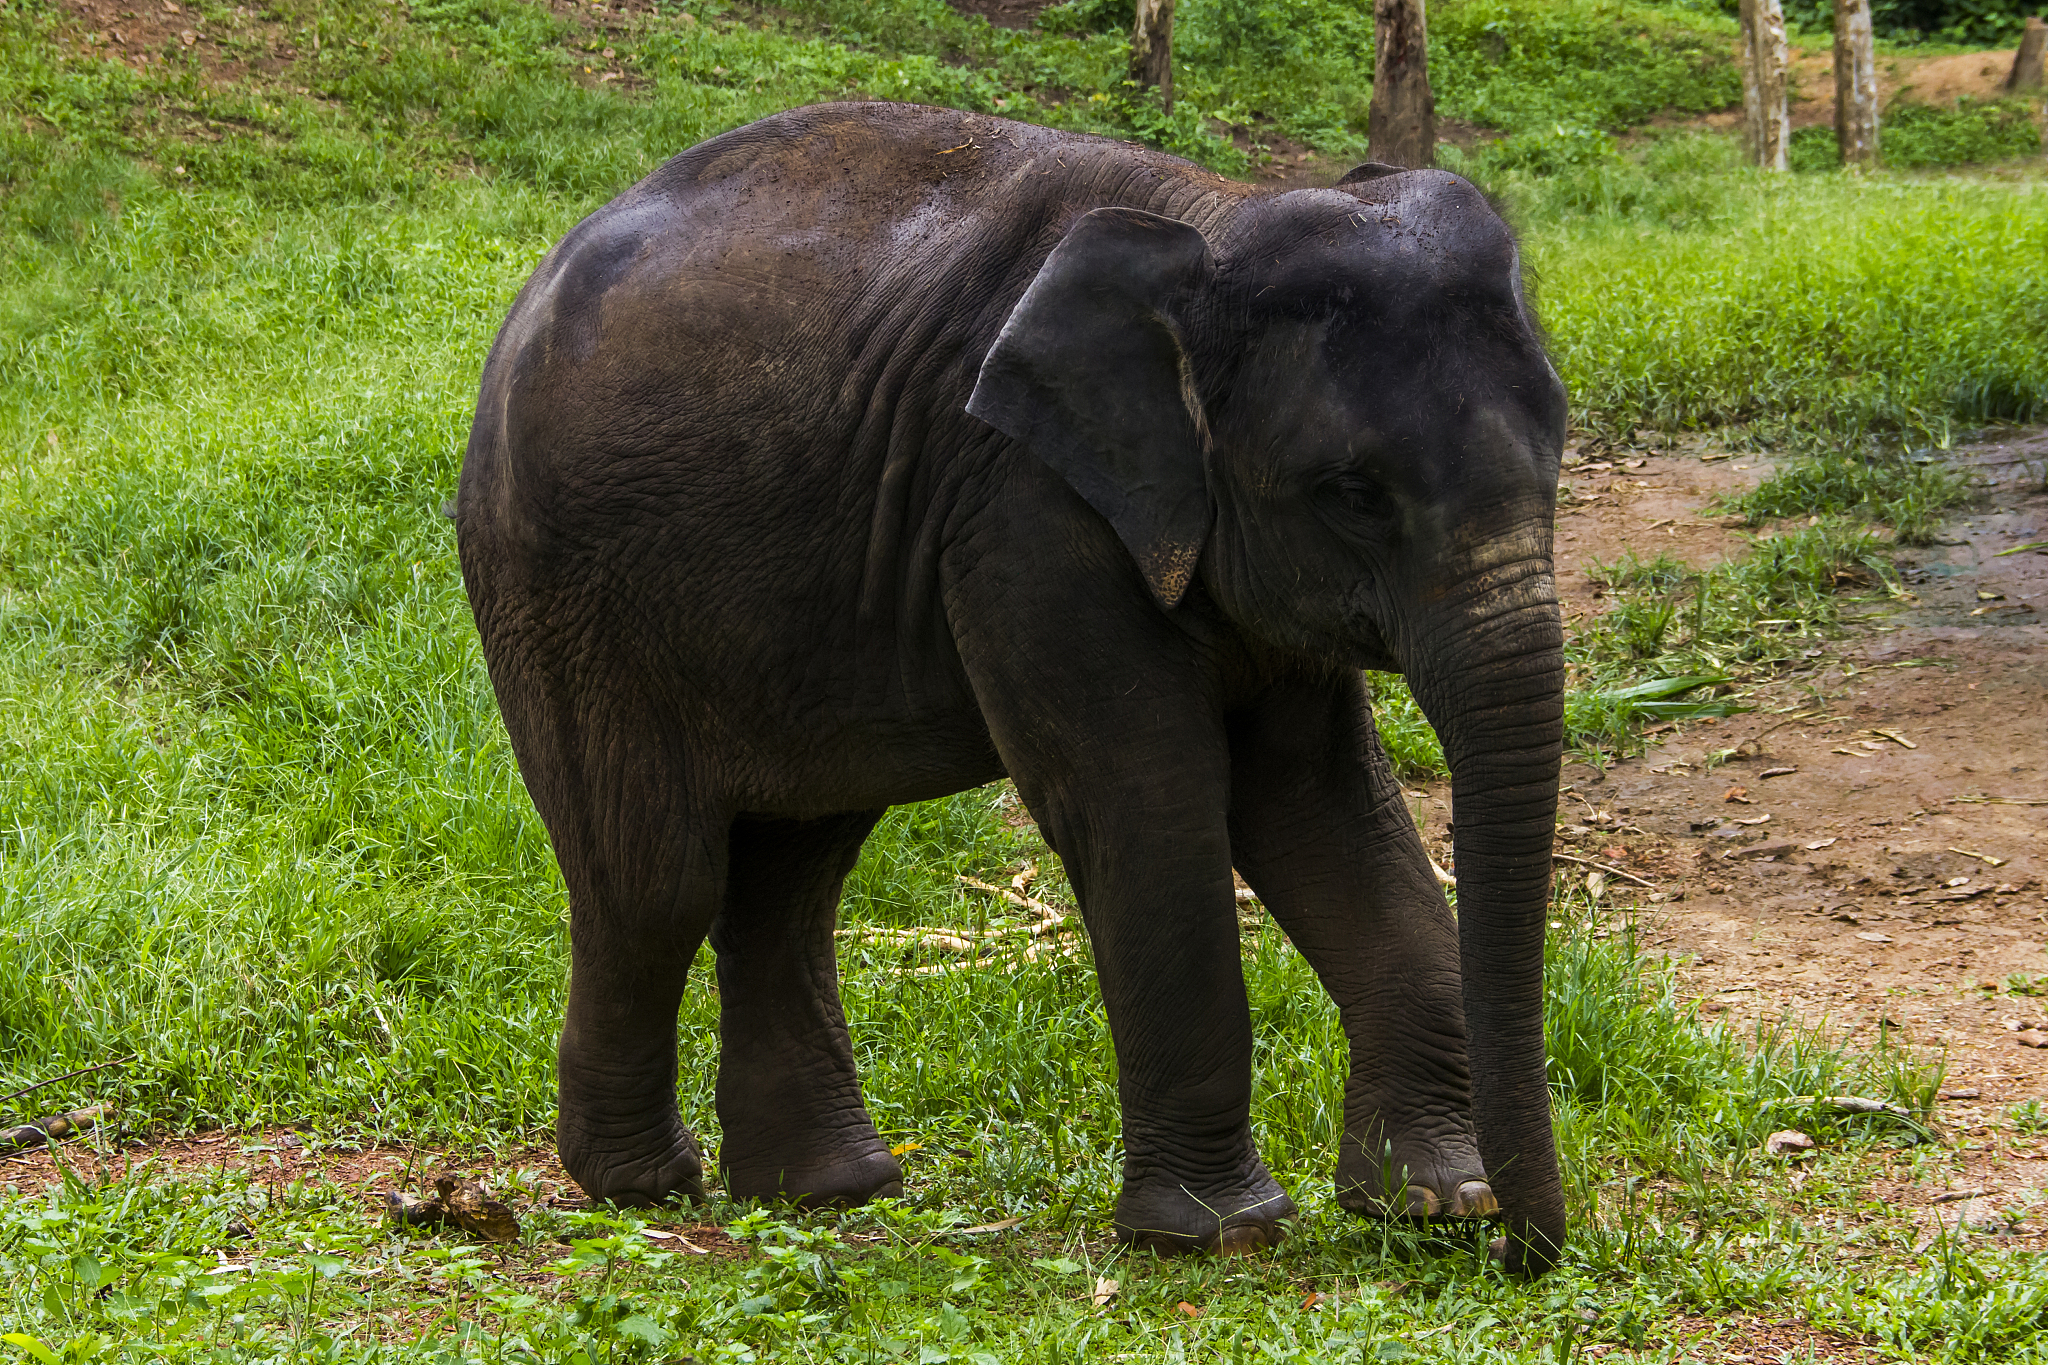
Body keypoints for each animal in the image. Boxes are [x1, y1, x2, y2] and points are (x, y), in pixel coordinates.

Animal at [456, 101, 1567, 1269]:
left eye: (1561, 439)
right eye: (1353, 493)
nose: (1520, 1251)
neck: (1218, 221)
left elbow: (1325, 811)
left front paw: (1435, 1203)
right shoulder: (1024, 515)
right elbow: (1150, 803)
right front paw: (1219, 1235)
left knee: (790, 874)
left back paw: (828, 1192)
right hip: (559, 593)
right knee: (655, 881)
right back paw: (644, 1186)